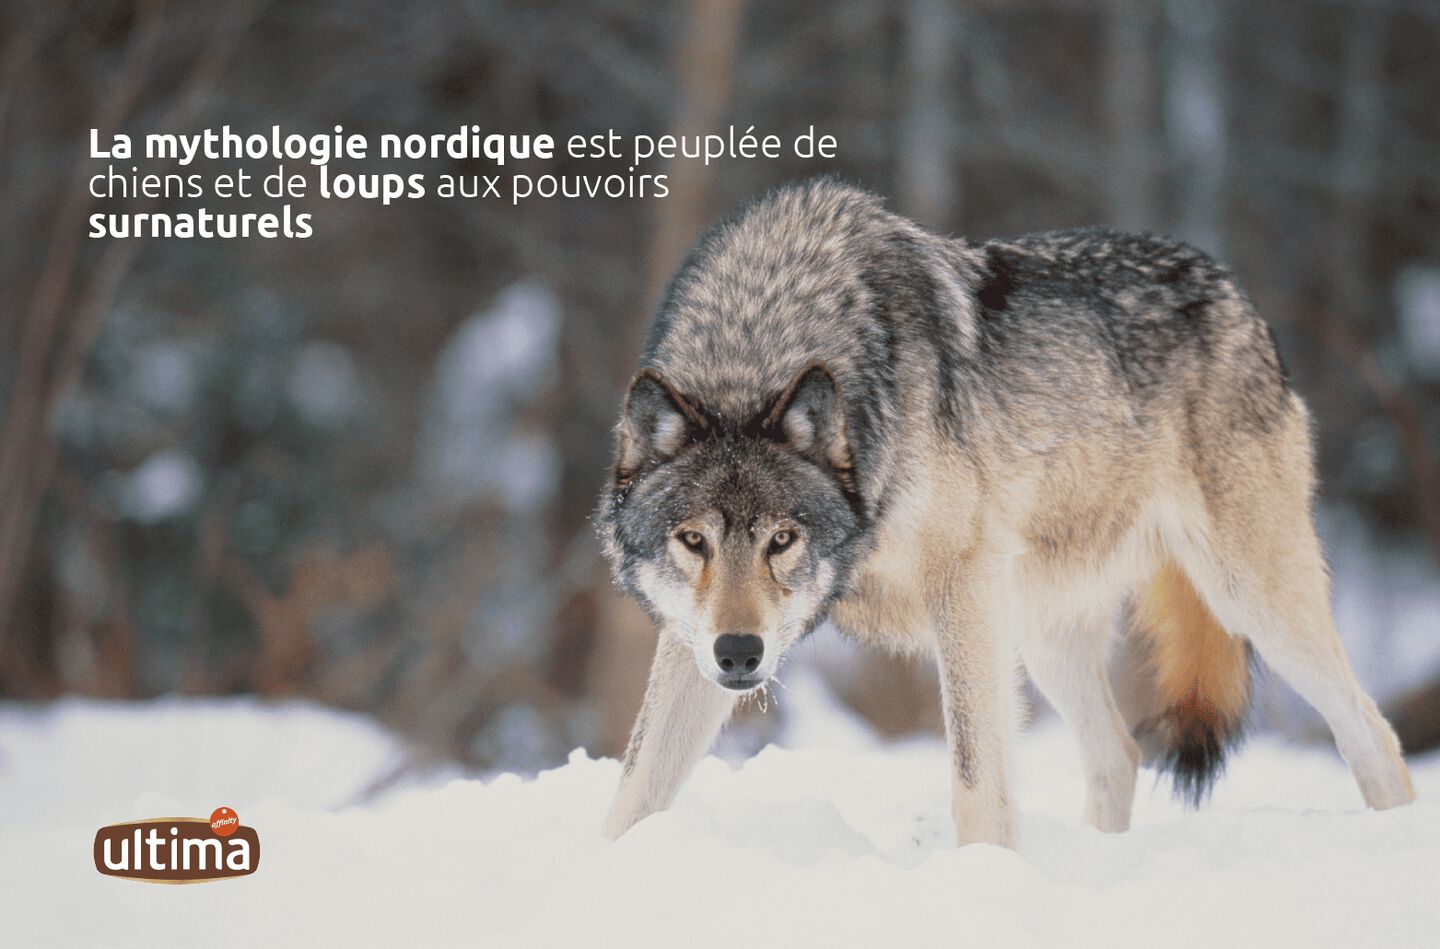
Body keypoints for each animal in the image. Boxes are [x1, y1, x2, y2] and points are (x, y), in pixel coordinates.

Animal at [597, 179, 1415, 847]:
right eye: (693, 540)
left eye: (782, 539)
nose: (740, 653)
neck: (763, 334)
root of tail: (1234, 288)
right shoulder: (690, 638)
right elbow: (634, 787)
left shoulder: (961, 586)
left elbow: (975, 779)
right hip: (1043, 633)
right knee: (1119, 756)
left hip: (1247, 598)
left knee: (1373, 733)